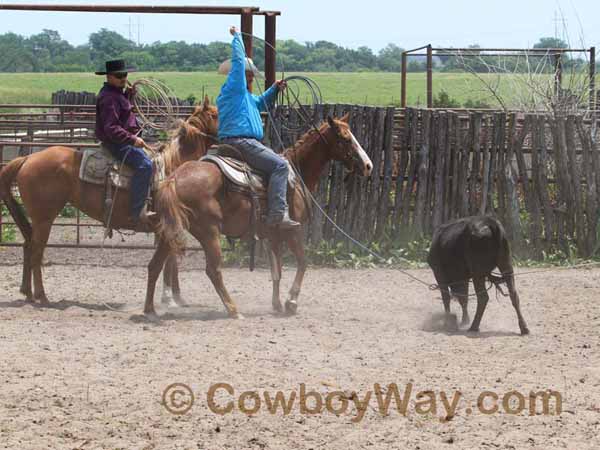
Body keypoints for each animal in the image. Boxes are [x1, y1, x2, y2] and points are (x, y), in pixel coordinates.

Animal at [0, 96, 219, 304]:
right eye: (217, 114)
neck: (174, 164)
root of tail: (28, 159)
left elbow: (170, 261)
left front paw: (176, 297)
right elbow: (171, 262)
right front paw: (172, 298)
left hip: (38, 220)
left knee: (28, 246)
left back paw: (28, 293)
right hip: (44, 218)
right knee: (36, 251)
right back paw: (42, 296)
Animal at [143, 114, 372, 318]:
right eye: (345, 138)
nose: (368, 165)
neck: (296, 175)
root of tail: (173, 179)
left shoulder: (273, 235)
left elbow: (277, 271)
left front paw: (277, 304)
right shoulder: (292, 231)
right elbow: (303, 262)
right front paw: (291, 301)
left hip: (170, 232)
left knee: (154, 265)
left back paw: (149, 310)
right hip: (209, 232)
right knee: (213, 270)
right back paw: (233, 310)